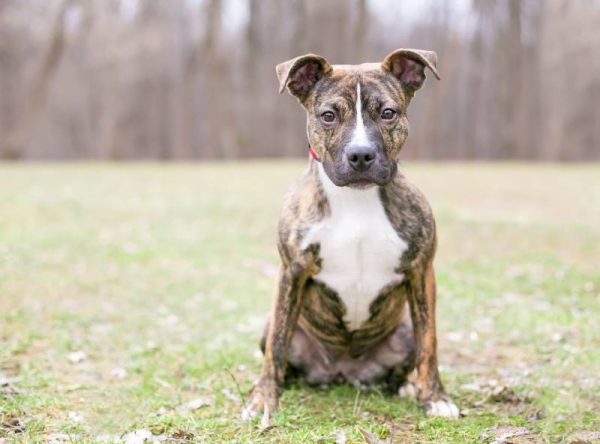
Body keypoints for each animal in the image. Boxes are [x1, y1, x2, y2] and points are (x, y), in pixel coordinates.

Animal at [241, 48, 458, 426]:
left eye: (388, 113)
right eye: (328, 115)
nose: (360, 155)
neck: (356, 199)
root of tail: (341, 373)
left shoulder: (421, 270)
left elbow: (429, 342)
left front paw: (434, 398)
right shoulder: (291, 271)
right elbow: (276, 350)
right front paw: (263, 399)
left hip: (402, 333)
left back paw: (405, 387)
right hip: (274, 327)